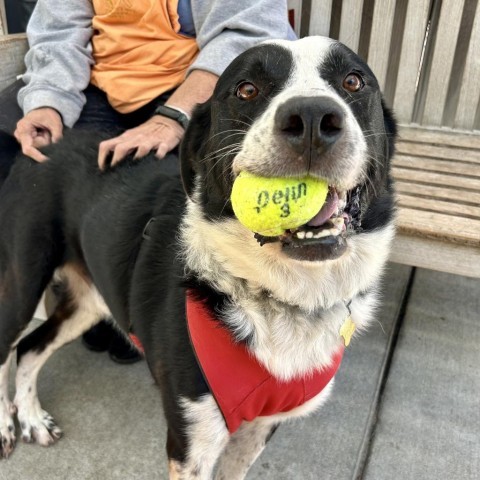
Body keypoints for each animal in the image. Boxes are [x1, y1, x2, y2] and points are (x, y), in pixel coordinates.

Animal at [0, 38, 396, 480]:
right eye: (246, 89)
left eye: (353, 81)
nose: (312, 117)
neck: (280, 295)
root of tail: (45, 142)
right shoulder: (191, 442)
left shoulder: (258, 429)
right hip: (23, 283)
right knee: (6, 347)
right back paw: (7, 426)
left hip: (89, 300)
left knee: (30, 347)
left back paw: (32, 417)